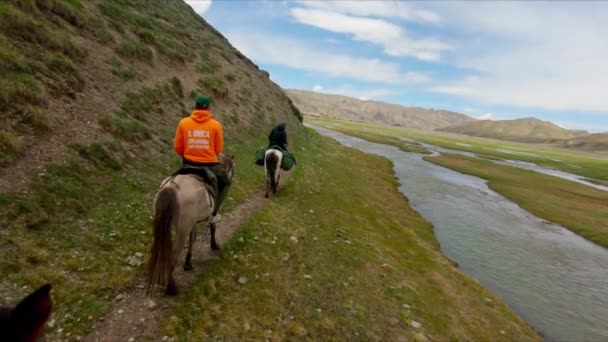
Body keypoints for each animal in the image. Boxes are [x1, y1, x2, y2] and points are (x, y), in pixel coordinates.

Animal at [145, 154, 235, 294]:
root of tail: (172, 187)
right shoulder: (212, 212)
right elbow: (212, 227)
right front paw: (214, 245)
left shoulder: (192, 222)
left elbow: (192, 237)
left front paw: (188, 262)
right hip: (182, 229)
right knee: (172, 255)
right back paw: (171, 288)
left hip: (164, 225)